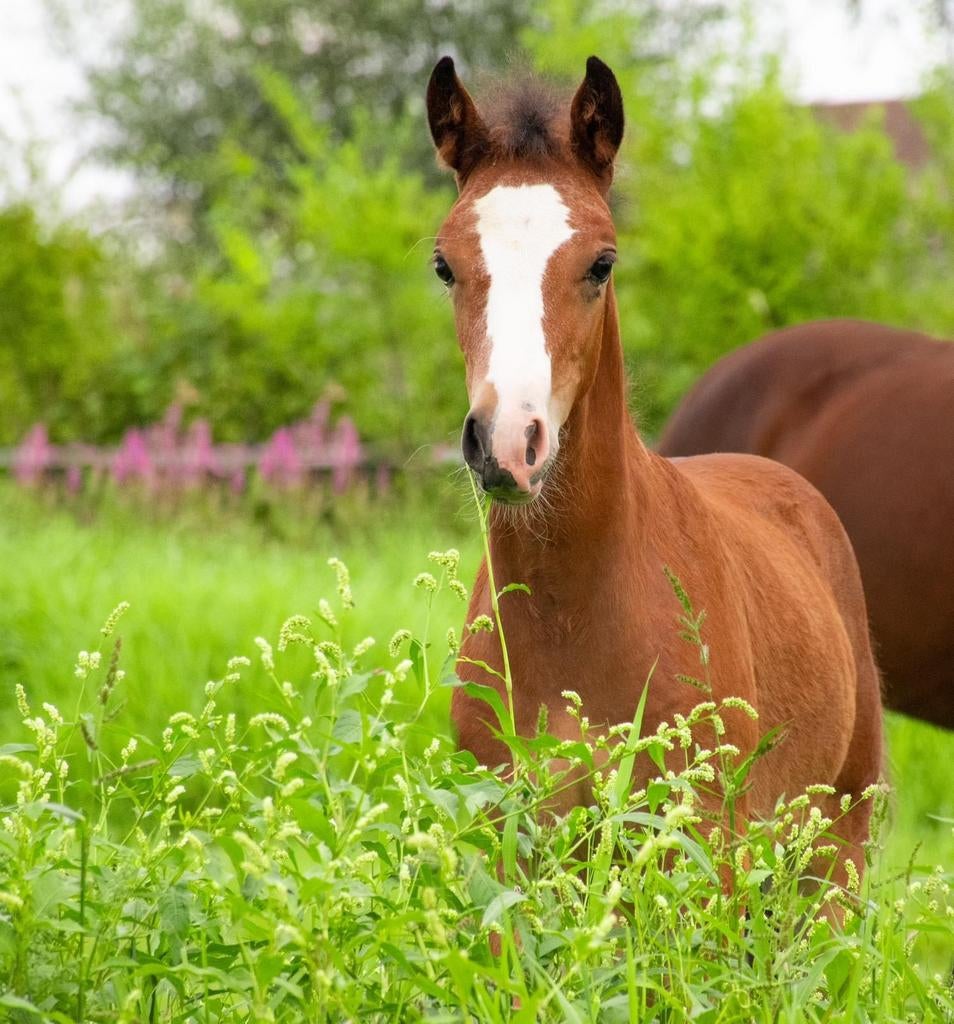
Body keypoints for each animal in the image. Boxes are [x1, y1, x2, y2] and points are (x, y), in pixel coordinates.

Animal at [426, 56, 883, 888]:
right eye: (446, 265)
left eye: (601, 263)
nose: (508, 443)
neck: (573, 611)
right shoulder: (512, 848)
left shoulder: (698, 847)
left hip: (835, 849)